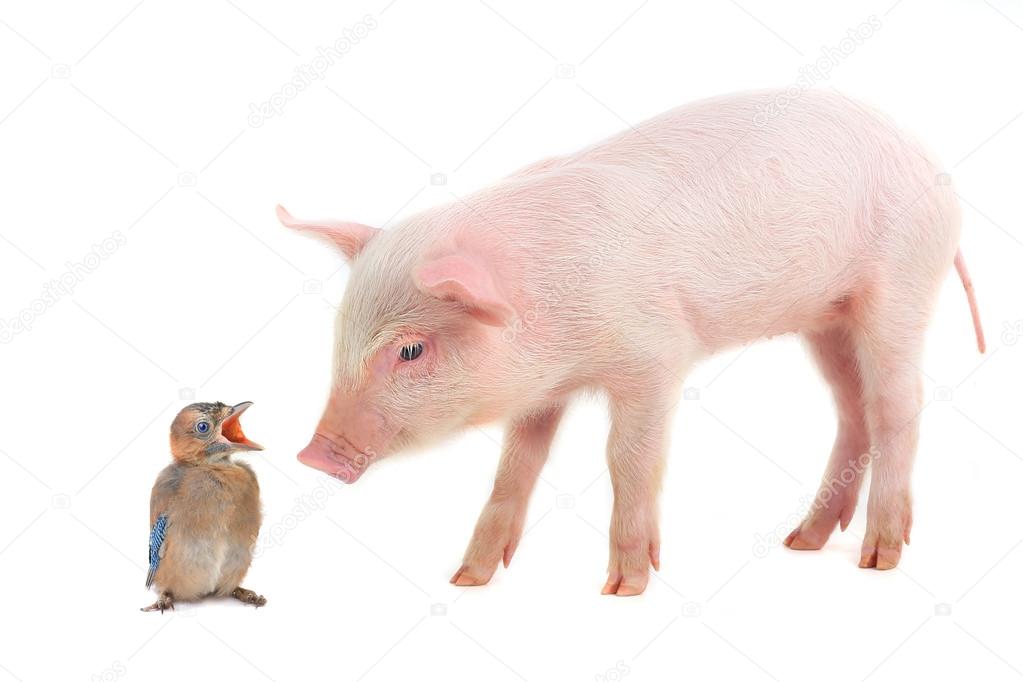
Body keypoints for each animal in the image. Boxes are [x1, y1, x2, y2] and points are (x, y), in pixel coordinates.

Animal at [279, 88, 984, 596]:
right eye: (341, 333)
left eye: (410, 350)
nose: (313, 454)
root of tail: (933, 165)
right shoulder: (543, 388)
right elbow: (517, 464)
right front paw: (467, 579)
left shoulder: (655, 357)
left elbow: (629, 459)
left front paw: (624, 588)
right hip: (827, 319)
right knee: (851, 408)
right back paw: (802, 542)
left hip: (899, 287)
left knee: (898, 405)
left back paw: (877, 559)